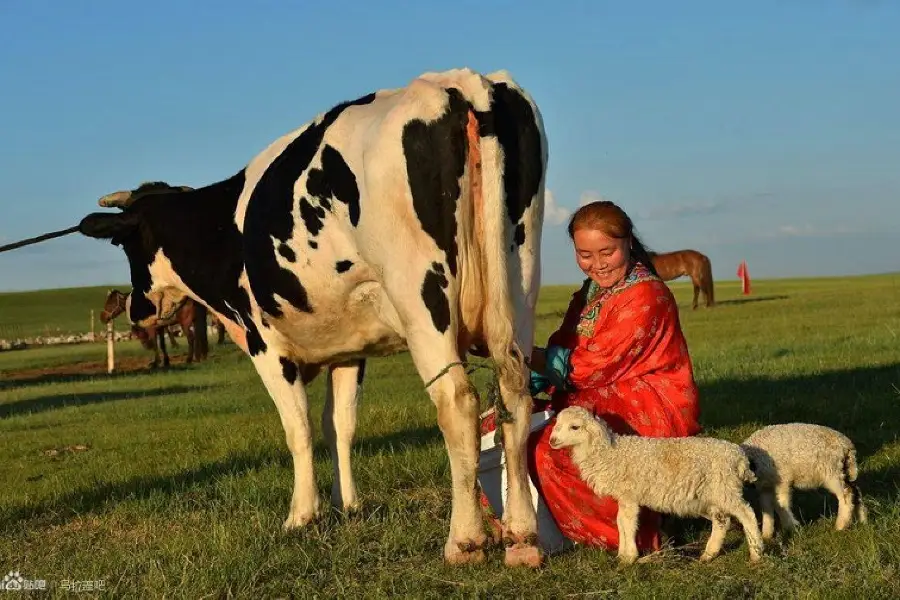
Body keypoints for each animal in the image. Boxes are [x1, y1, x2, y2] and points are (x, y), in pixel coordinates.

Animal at [79, 69, 548, 568]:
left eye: (126, 244)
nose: (135, 309)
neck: (223, 227)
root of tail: (461, 84)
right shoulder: (349, 348)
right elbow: (339, 423)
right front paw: (349, 504)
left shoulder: (265, 343)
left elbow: (298, 427)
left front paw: (303, 514)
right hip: (519, 282)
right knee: (515, 394)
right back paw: (522, 536)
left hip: (422, 294)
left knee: (457, 400)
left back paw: (464, 540)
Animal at [548, 406, 768, 564]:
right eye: (557, 424)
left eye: (575, 427)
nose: (552, 440)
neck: (609, 453)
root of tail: (739, 456)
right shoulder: (624, 497)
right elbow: (620, 522)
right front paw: (622, 554)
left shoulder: (629, 496)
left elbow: (627, 523)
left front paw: (628, 557)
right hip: (711, 494)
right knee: (722, 521)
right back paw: (708, 555)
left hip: (725, 489)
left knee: (747, 514)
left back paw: (756, 553)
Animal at [740, 422, 868, 540]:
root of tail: (847, 445)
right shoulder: (765, 486)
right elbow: (766, 508)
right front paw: (766, 535)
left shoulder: (782, 480)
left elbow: (780, 504)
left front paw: (791, 527)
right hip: (845, 470)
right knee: (855, 491)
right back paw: (862, 520)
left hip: (831, 471)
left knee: (846, 495)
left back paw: (840, 526)